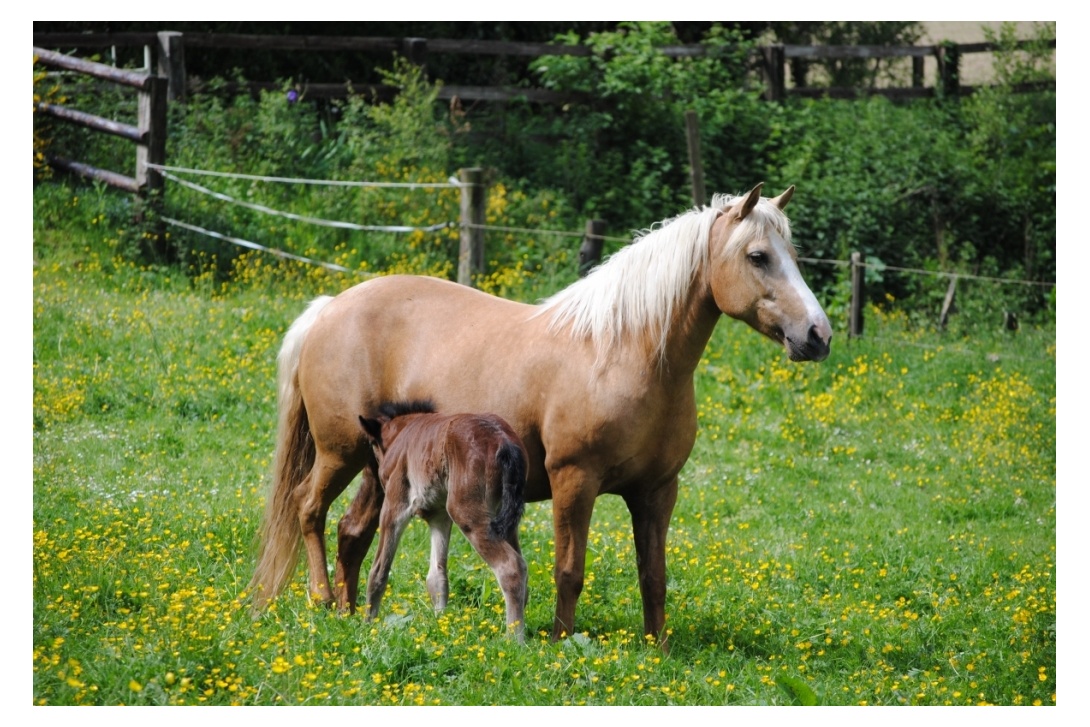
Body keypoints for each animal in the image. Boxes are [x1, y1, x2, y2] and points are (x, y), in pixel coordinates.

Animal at [357, 403, 527, 640]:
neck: (404, 433)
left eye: (373, 444)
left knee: (511, 566)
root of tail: (502, 439)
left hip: (466, 512)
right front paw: (441, 624)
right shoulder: (439, 516)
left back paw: (514, 639)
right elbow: (436, 576)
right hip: (505, 520)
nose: (381, 475)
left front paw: (368, 625)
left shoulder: (394, 505)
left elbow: (379, 569)